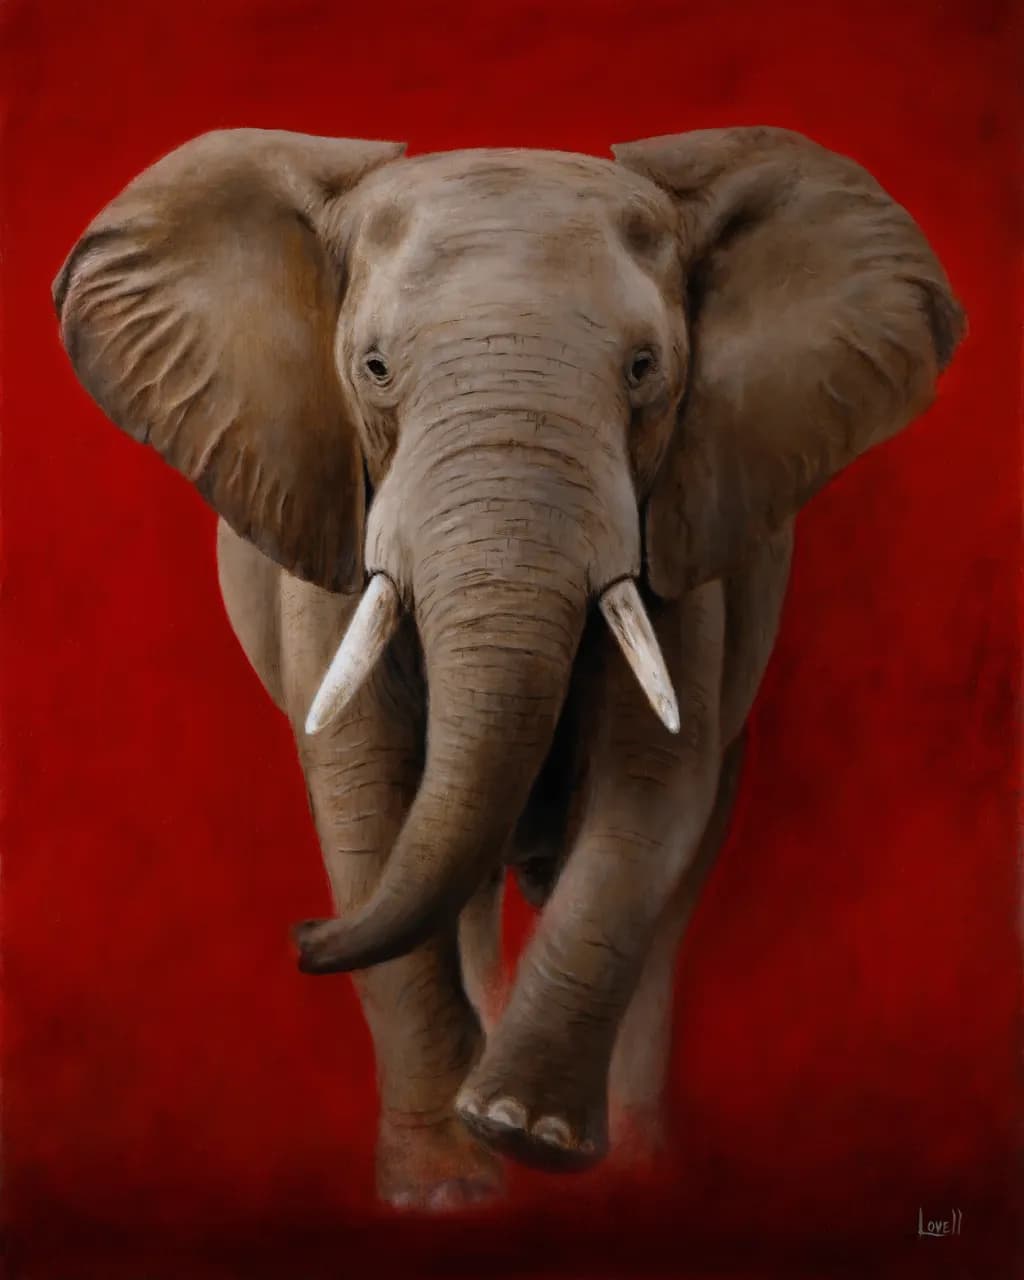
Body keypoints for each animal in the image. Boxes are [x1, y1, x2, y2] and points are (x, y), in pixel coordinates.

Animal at [52, 125, 963, 1210]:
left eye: (646, 369)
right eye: (373, 366)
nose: (302, 937)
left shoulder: (682, 532)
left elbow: (652, 789)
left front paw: (525, 1131)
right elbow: (365, 796)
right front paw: (444, 1188)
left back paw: (638, 1159)